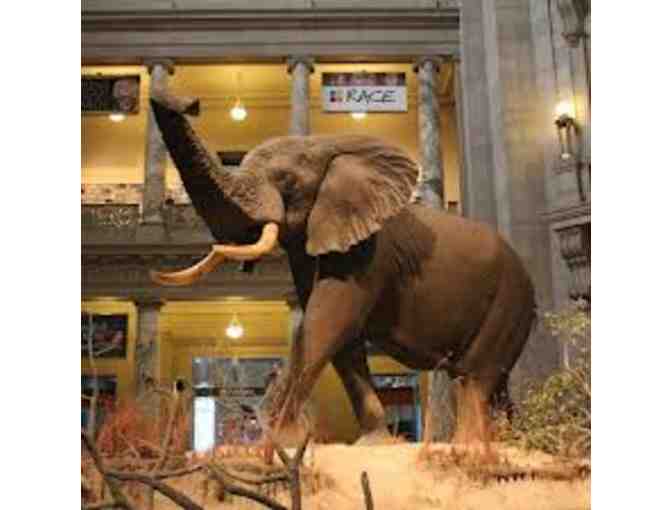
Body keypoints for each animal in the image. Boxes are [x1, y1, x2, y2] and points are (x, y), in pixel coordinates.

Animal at [148, 93, 536, 445]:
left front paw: (282, 438)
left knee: (477, 376)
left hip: (510, 298)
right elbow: (335, 333)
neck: (326, 145)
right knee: (494, 382)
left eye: (286, 181)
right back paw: (511, 441)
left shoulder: (370, 249)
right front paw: (373, 444)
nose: (189, 102)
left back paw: (469, 447)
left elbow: (330, 317)